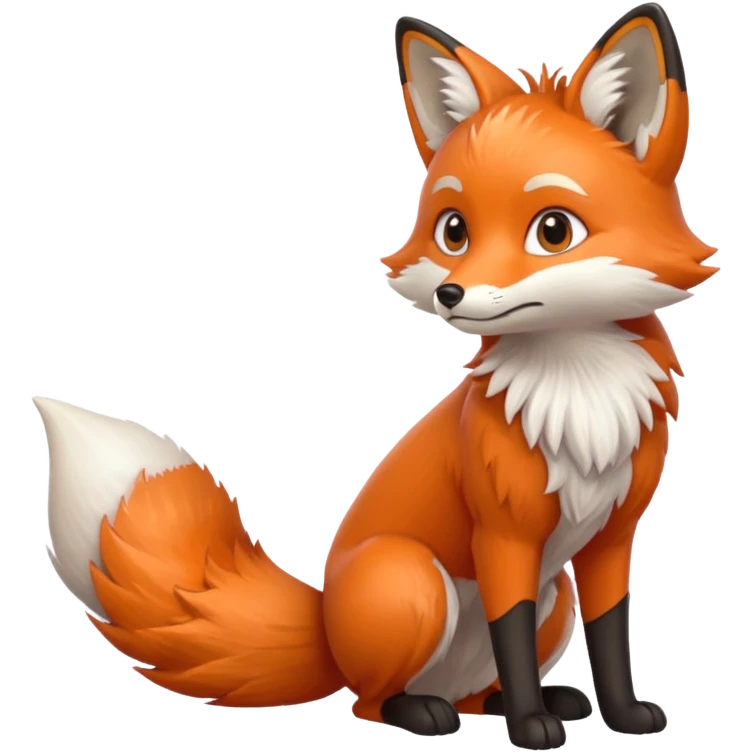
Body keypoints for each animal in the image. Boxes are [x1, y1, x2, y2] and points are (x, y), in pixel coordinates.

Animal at [36, 4, 716, 749]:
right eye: (454, 231)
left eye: (553, 231)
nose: (451, 294)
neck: (580, 393)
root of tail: (324, 626)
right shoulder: (502, 538)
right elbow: (512, 633)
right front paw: (530, 727)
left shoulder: (611, 539)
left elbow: (612, 639)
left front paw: (621, 717)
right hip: (411, 580)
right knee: (369, 700)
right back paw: (429, 711)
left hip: (551, 598)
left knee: (474, 689)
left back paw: (519, 701)